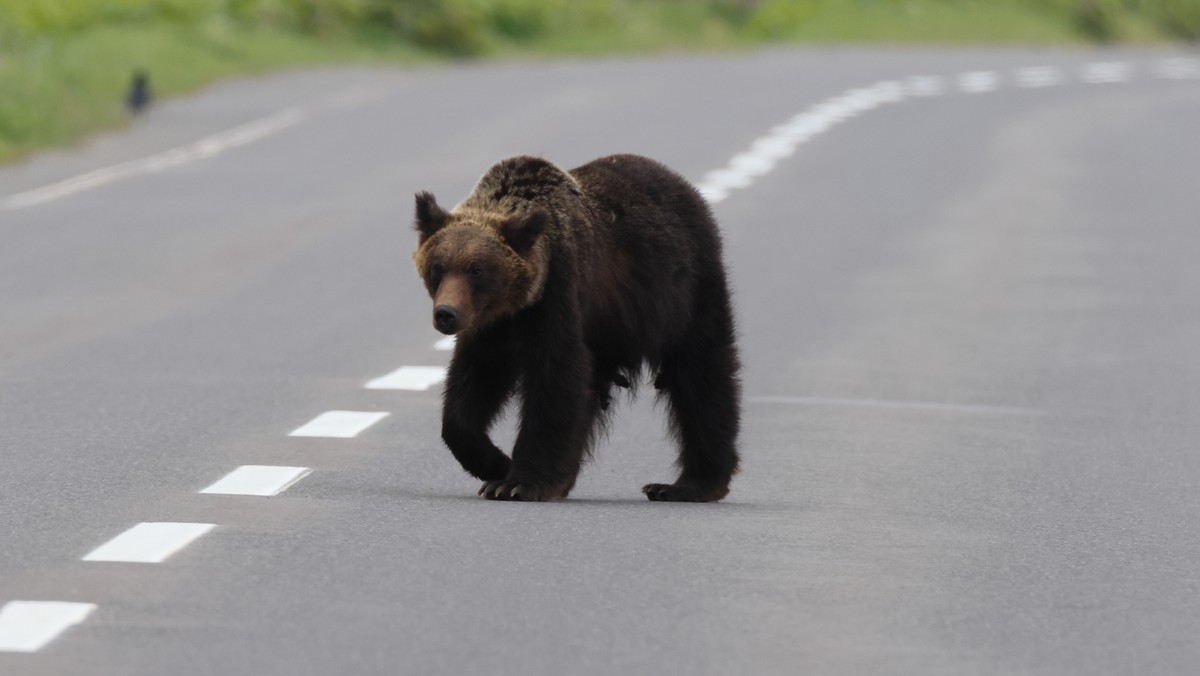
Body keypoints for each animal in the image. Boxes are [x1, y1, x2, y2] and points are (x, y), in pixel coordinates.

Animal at [415, 154, 739, 501]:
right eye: (437, 267)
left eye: (477, 270)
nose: (446, 314)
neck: (516, 305)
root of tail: (683, 185)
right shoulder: (491, 327)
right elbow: (472, 385)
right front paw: (495, 465)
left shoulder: (557, 295)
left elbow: (556, 378)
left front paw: (518, 482)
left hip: (685, 293)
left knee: (701, 375)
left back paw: (688, 484)